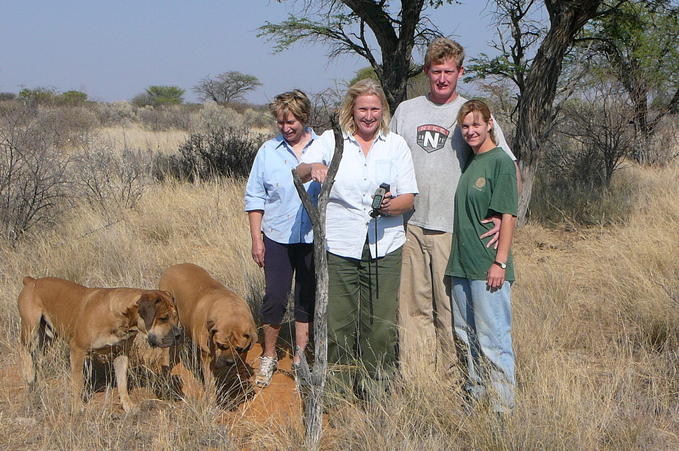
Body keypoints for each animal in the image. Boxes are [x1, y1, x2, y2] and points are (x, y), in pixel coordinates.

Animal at [18, 276, 182, 414]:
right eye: (163, 318)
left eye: (175, 317)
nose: (178, 335)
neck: (120, 316)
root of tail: (31, 280)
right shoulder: (78, 350)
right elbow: (77, 382)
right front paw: (77, 407)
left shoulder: (121, 353)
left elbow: (122, 382)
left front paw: (128, 405)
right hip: (31, 330)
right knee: (24, 350)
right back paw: (28, 376)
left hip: (48, 336)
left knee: (37, 358)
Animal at [159, 264, 258, 394]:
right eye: (221, 345)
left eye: (239, 348)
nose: (229, 362)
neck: (232, 310)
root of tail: (173, 267)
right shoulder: (207, 355)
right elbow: (209, 380)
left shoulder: (243, 352)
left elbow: (240, 369)